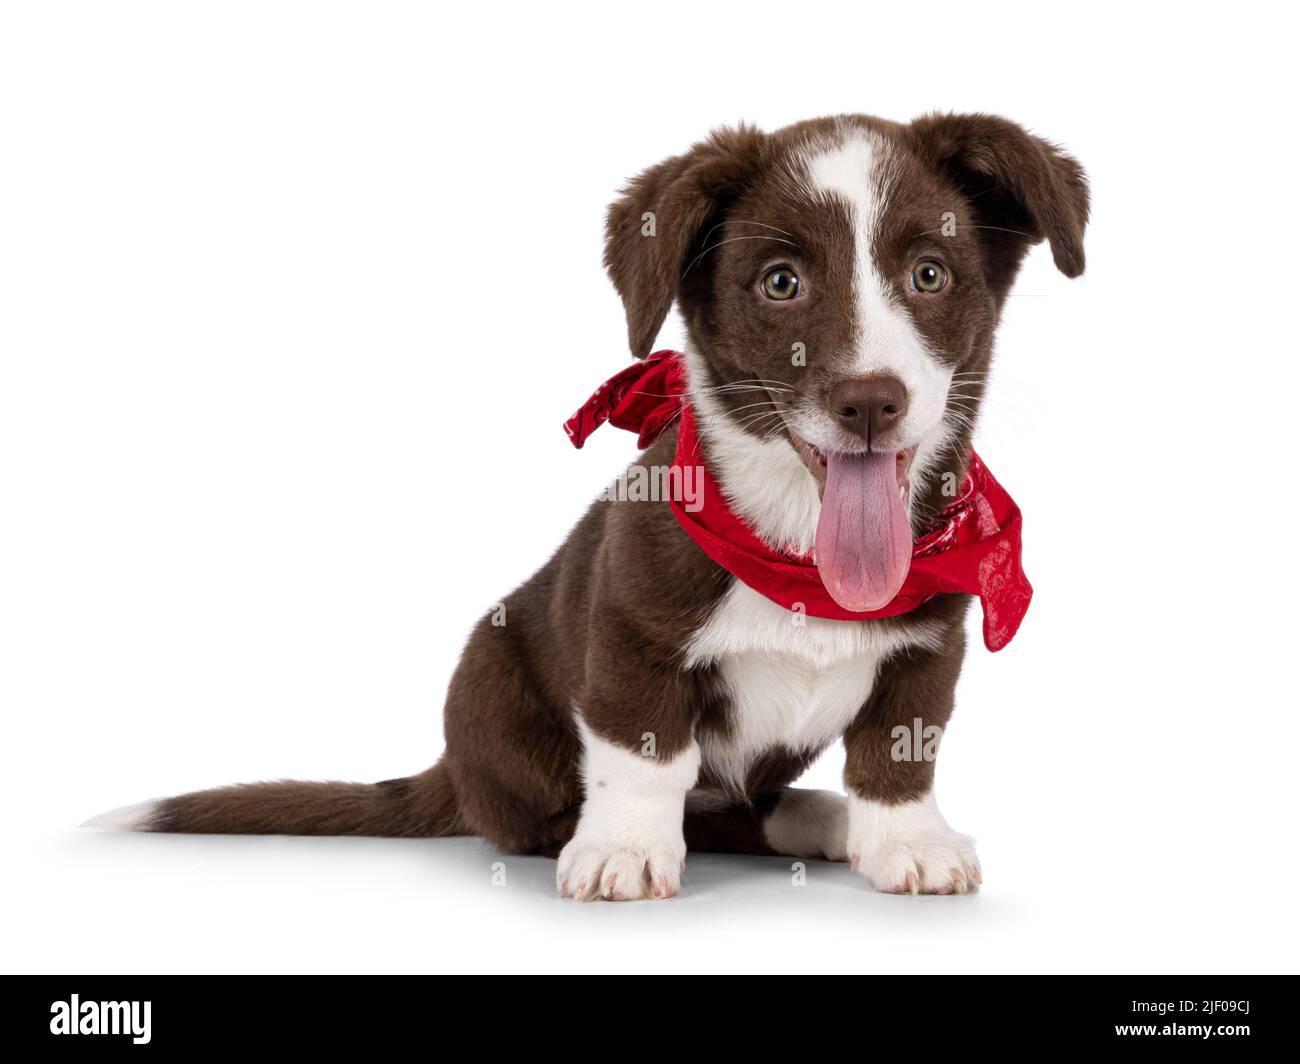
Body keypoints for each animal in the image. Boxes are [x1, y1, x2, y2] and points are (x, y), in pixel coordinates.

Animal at [89, 113, 1086, 894]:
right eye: (781, 282)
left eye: (930, 274)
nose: (871, 402)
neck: (797, 547)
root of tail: (454, 772)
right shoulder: (630, 623)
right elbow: (643, 750)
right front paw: (624, 853)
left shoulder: (931, 642)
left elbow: (898, 752)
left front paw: (908, 841)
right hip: (489, 677)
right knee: (581, 811)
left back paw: (825, 821)